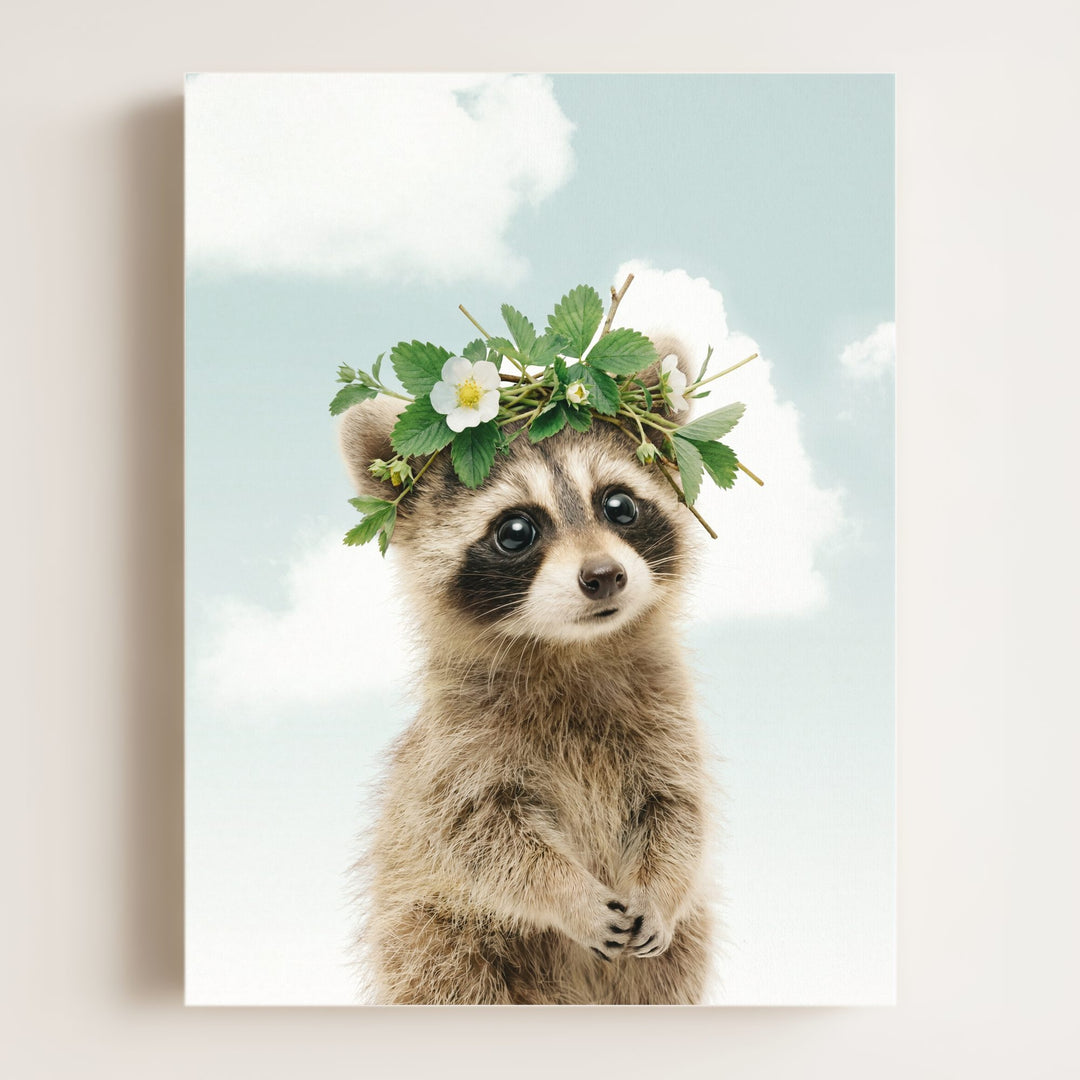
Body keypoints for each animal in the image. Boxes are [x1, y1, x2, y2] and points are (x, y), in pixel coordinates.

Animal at [338, 344, 713, 1005]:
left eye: (619, 505)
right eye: (516, 530)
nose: (604, 576)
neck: (573, 649)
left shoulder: (667, 716)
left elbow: (678, 811)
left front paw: (662, 887)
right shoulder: (457, 747)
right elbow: (483, 838)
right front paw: (569, 894)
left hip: (678, 954)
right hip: (435, 934)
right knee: (448, 976)